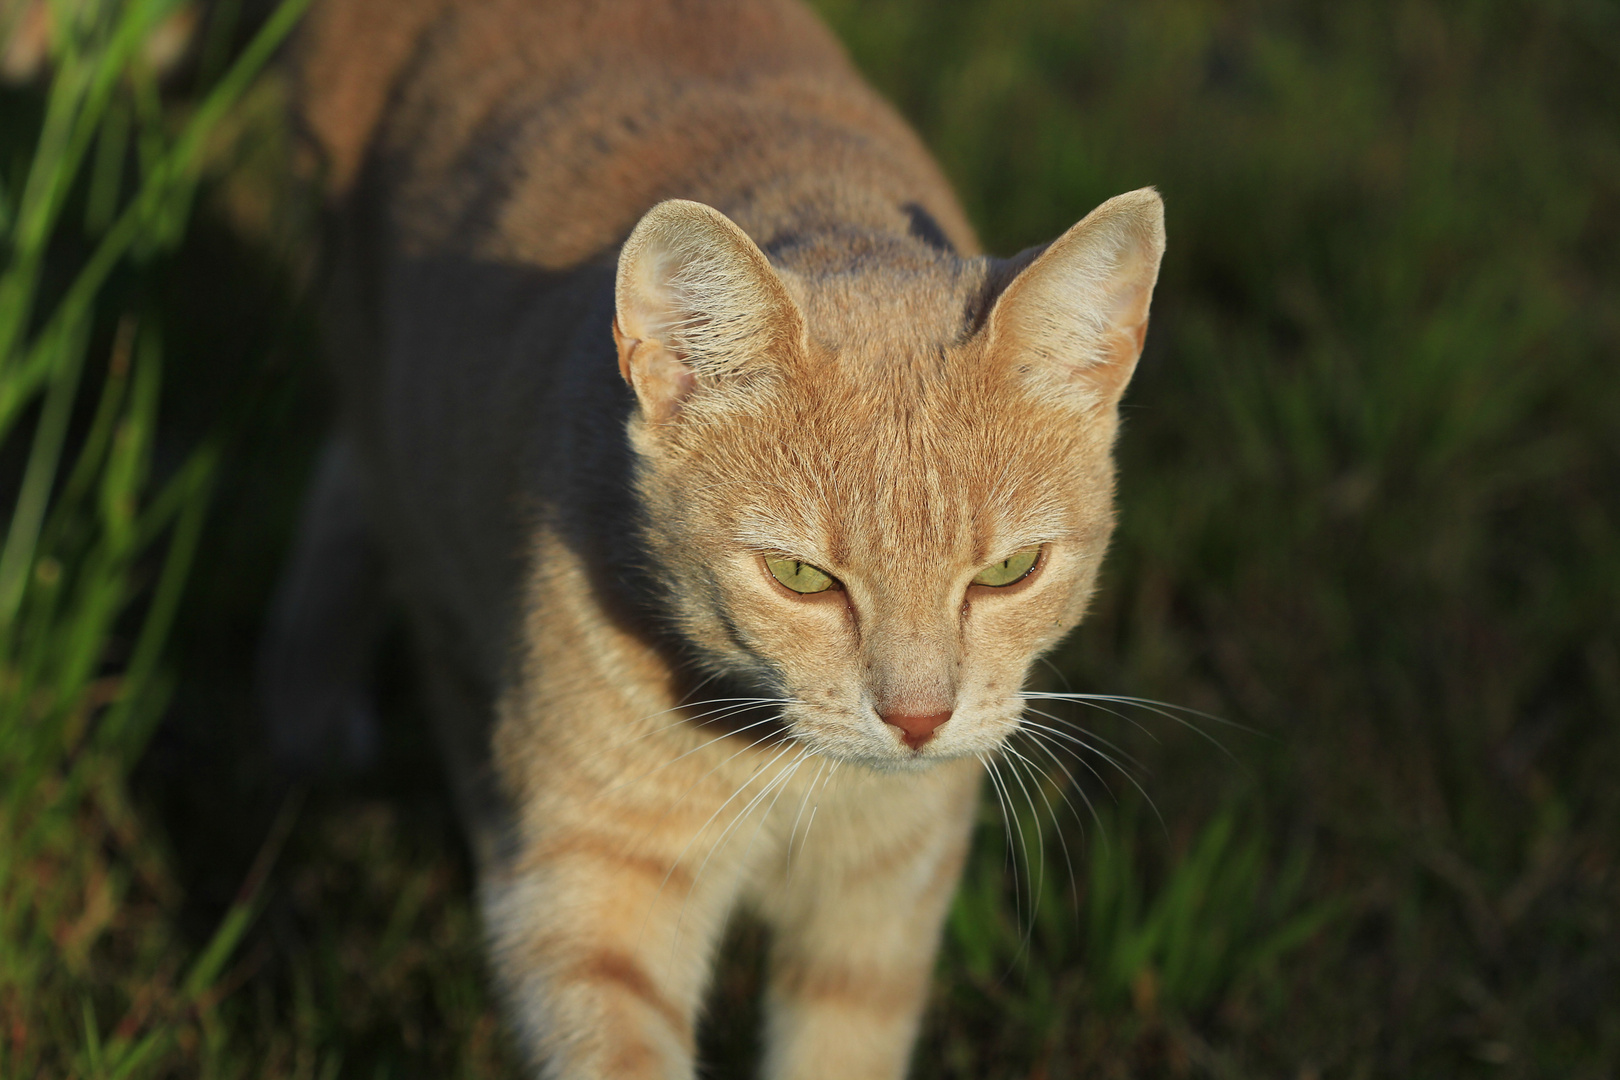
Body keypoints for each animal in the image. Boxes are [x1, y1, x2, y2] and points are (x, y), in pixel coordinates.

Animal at [268, 2, 1166, 1075]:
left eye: (1009, 570)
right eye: (800, 576)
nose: (917, 720)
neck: (794, 774)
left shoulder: (884, 896)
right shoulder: (595, 883)